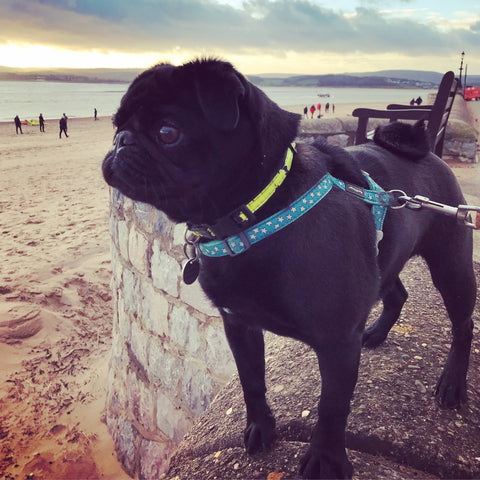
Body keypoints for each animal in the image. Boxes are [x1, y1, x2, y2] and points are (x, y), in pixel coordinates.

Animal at [102, 58, 476, 478]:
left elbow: (332, 407)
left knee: (463, 325)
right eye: (116, 126)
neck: (256, 215)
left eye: (168, 133)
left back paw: (452, 383)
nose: (120, 141)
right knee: (396, 293)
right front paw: (260, 429)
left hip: (452, 266)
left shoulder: (337, 342)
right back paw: (378, 332)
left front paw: (325, 459)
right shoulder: (239, 325)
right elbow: (252, 381)